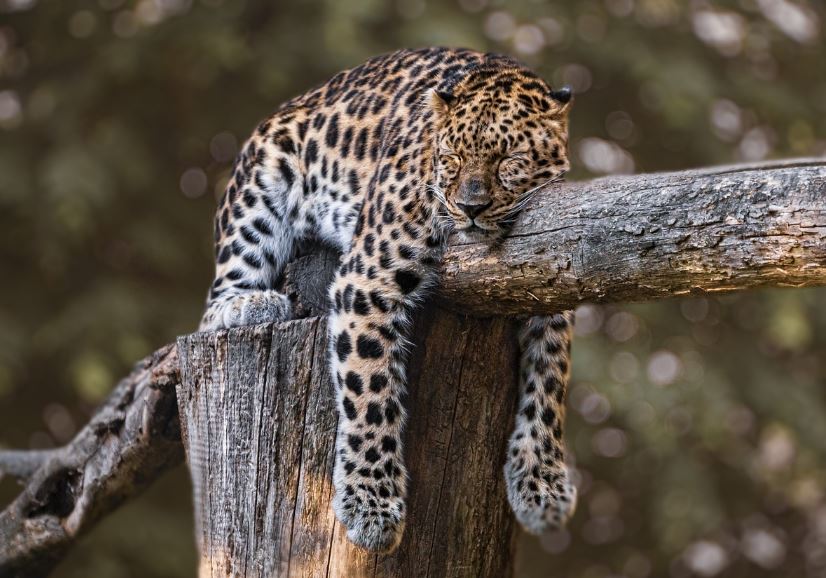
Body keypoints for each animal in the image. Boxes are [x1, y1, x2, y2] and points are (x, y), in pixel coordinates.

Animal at [199, 47, 576, 553]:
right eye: (452, 158)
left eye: (509, 159)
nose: (470, 208)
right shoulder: (367, 280)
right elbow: (370, 391)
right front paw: (371, 506)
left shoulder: (552, 287)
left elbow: (549, 385)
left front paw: (541, 486)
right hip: (258, 190)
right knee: (214, 302)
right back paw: (251, 304)